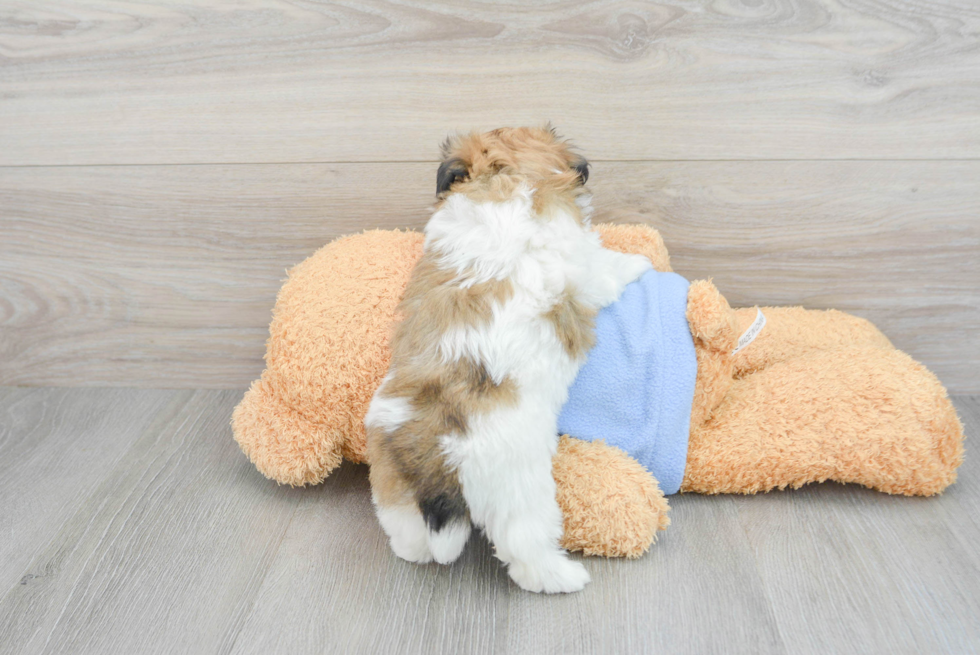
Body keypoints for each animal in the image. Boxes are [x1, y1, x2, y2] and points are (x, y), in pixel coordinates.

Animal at [362, 128, 652, 596]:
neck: (504, 174)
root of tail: (440, 448)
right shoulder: (586, 265)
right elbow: (609, 269)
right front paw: (639, 262)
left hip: (392, 478)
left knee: (407, 530)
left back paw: (412, 551)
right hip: (522, 492)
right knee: (524, 547)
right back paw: (561, 577)